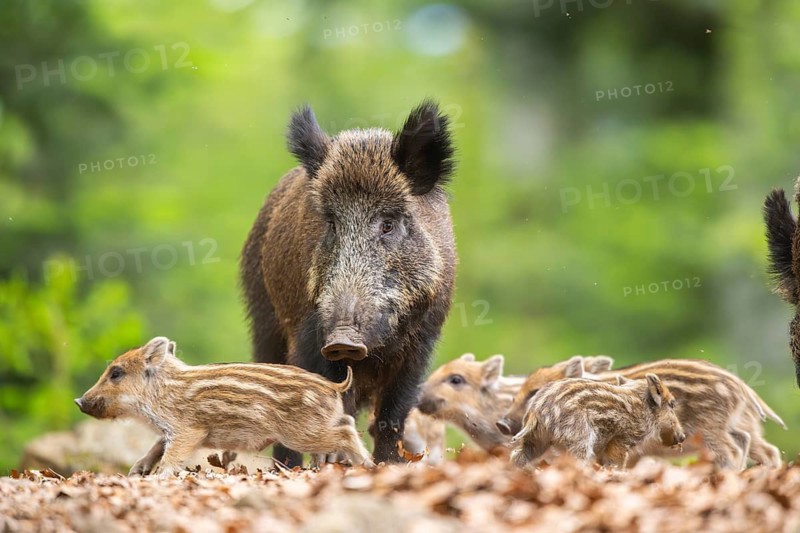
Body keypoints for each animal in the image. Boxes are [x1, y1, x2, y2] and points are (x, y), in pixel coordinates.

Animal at [75, 337, 373, 477]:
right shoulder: (172, 432)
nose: (79, 401)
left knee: (345, 431)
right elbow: (157, 446)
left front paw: (160, 476)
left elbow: (171, 454)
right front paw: (137, 471)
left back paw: (368, 464)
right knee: (347, 423)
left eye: (116, 373)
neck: (164, 392)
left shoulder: (188, 430)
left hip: (301, 433)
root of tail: (334, 386)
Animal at [240, 101, 456, 465]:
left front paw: (388, 464)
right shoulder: (309, 334)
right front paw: (332, 461)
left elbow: (394, 413)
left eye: (388, 224)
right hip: (263, 315)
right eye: (331, 223)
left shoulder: (423, 340)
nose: (344, 338)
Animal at [510, 374, 685, 468]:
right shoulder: (621, 440)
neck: (645, 411)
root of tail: (535, 410)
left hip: (537, 440)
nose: (682, 437)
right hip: (579, 437)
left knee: (517, 455)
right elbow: (616, 463)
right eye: (672, 404)